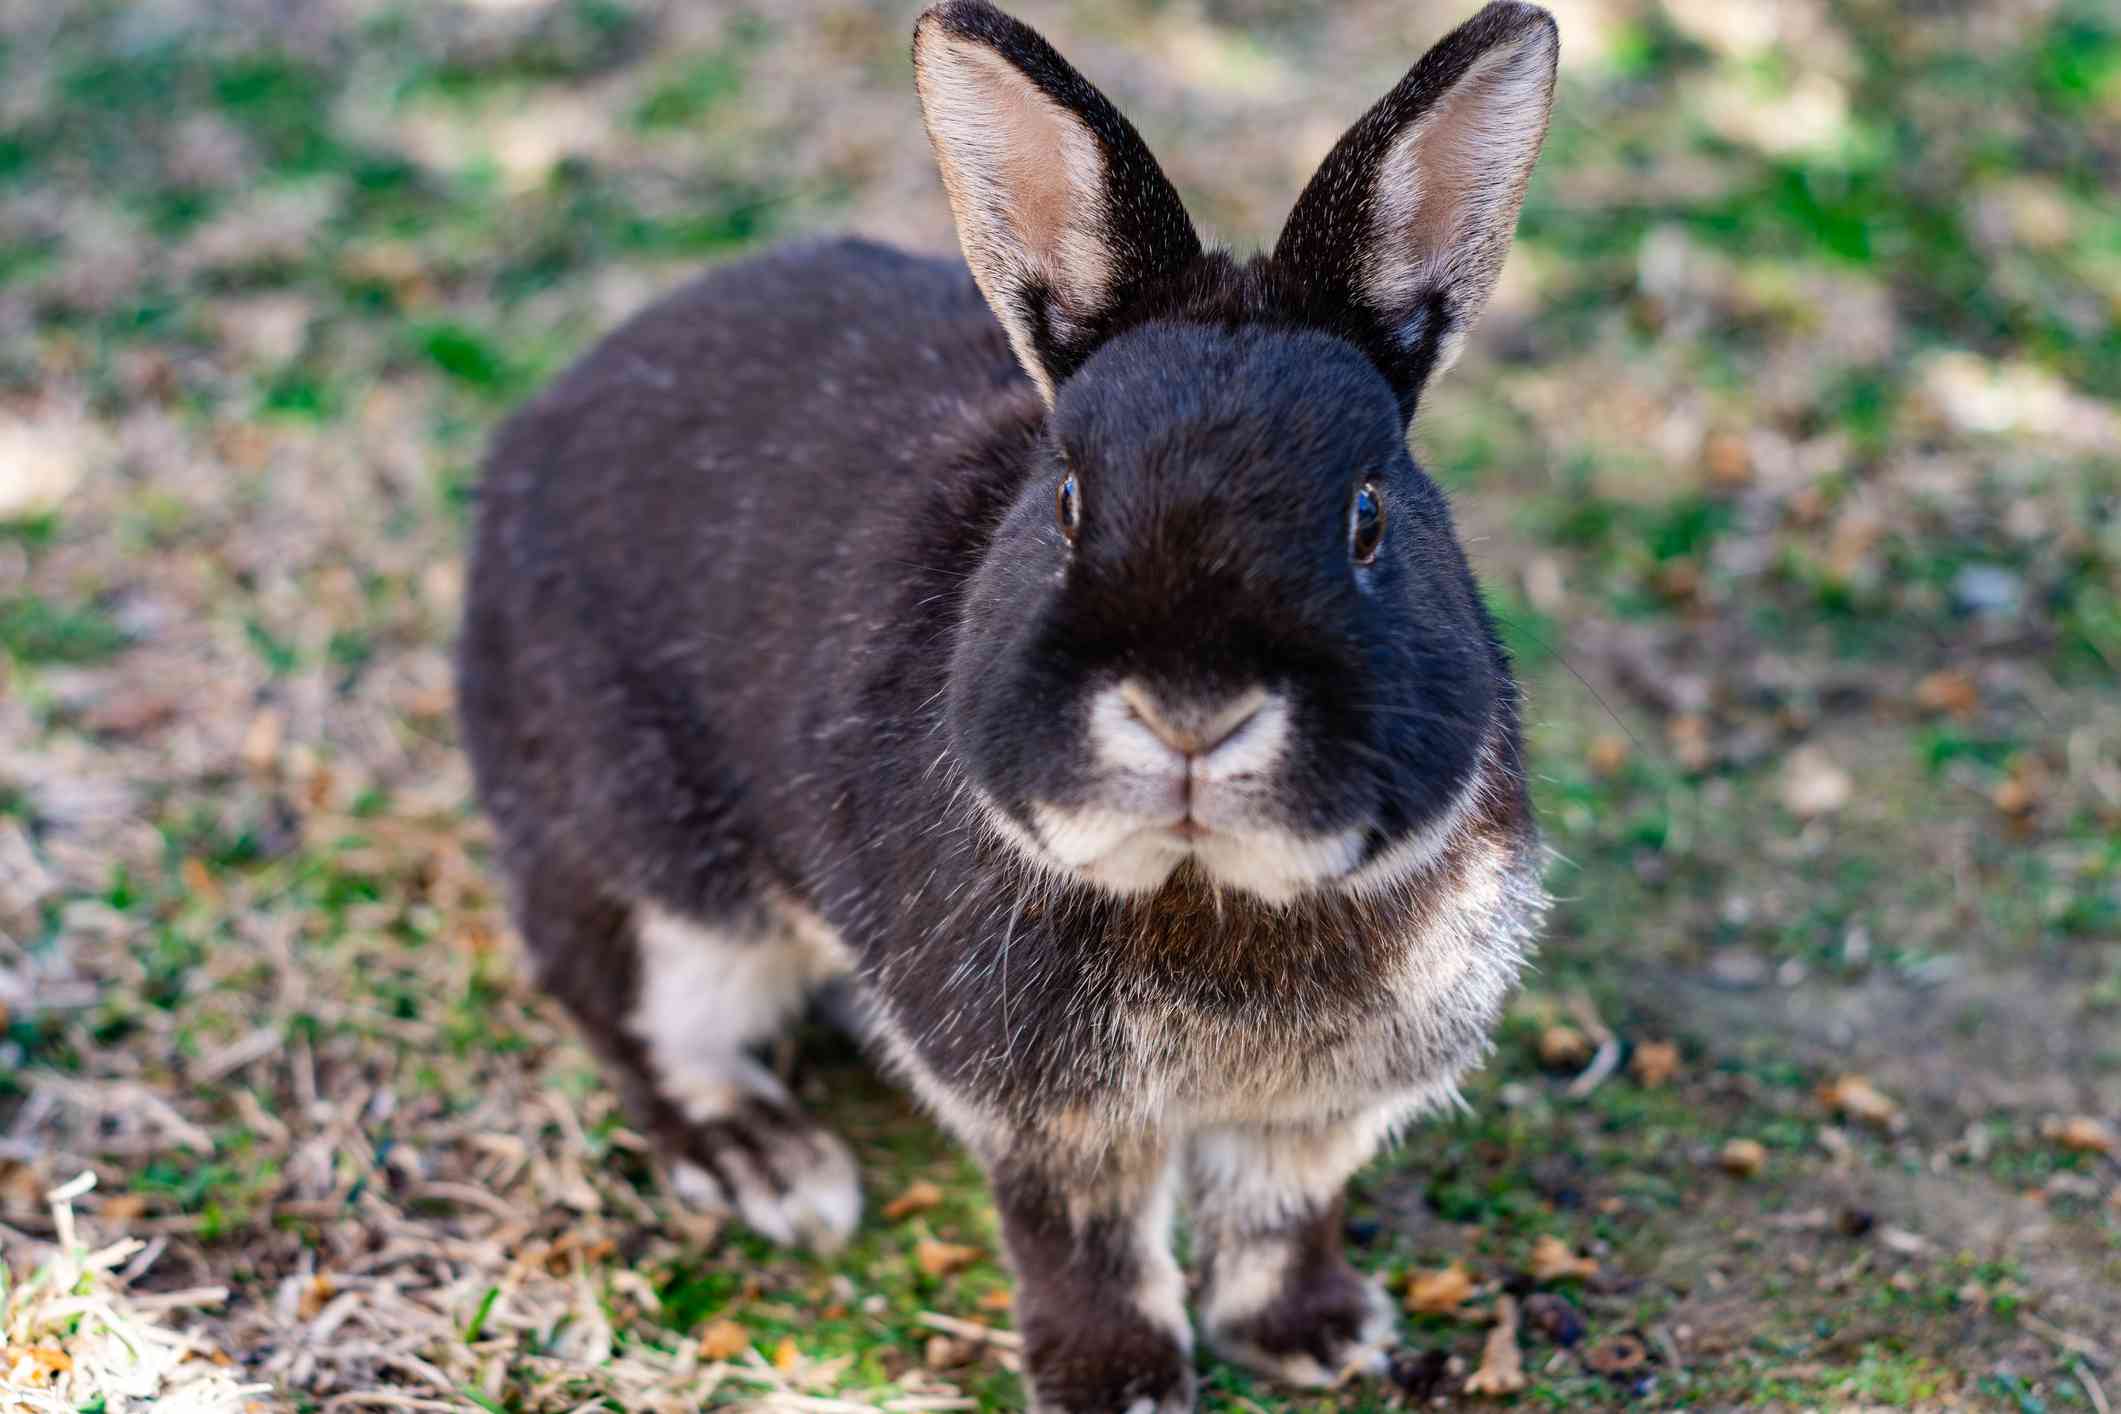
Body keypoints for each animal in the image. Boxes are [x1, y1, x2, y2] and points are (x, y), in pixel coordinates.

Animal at [460, 5, 1561, 1407]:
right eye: (1069, 501)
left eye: (1369, 515)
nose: (1190, 710)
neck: (1206, 886)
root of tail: (527, 446)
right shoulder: (1048, 1114)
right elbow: (1086, 1242)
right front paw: (1122, 1383)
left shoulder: (1315, 1114)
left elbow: (1280, 1211)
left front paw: (1315, 1335)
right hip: (664, 872)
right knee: (630, 1005)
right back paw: (769, 1164)